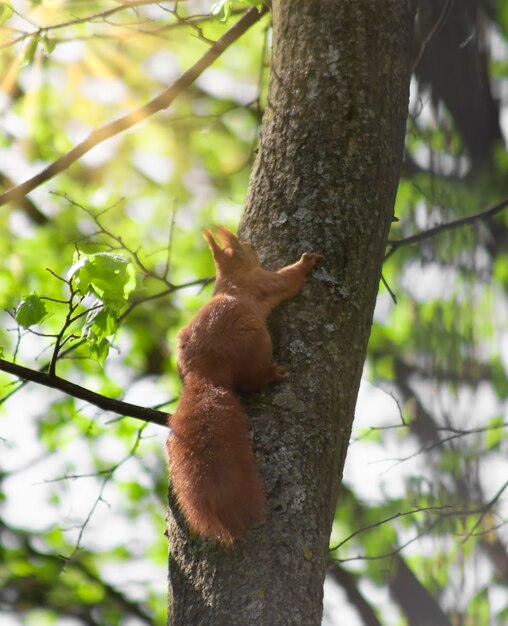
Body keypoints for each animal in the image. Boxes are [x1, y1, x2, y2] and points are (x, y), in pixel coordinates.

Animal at [167, 227, 322, 544]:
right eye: (244, 246)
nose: (253, 246)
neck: (230, 278)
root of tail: (206, 374)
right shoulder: (264, 282)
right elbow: (287, 280)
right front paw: (305, 262)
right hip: (257, 341)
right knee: (251, 382)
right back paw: (273, 374)